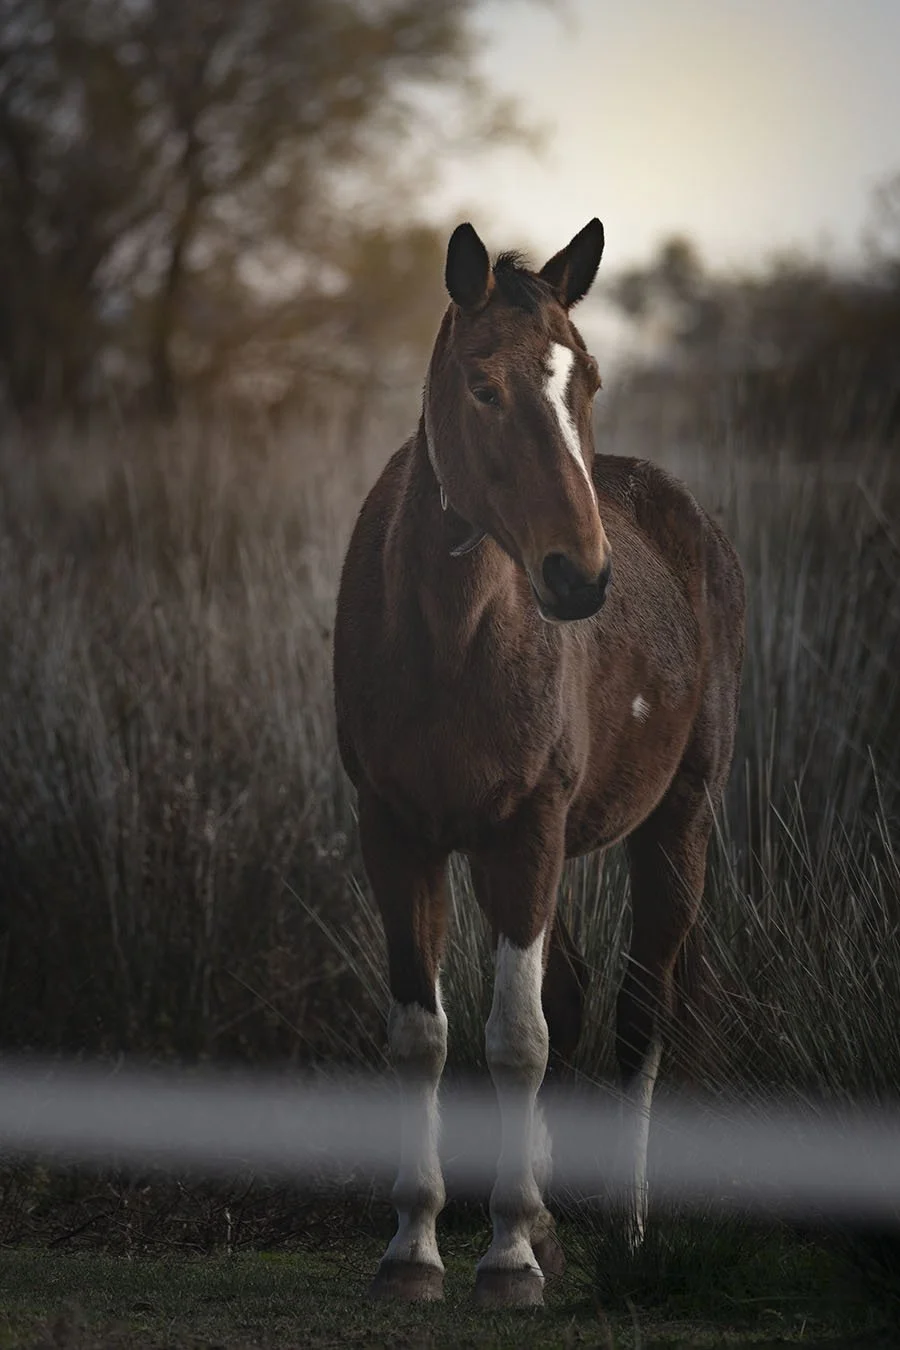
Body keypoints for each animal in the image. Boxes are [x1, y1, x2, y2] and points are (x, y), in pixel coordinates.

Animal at [332, 218, 745, 1308]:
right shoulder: (399, 835)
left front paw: (510, 1258)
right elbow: (424, 1034)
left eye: (586, 379)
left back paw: (627, 1230)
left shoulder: (530, 834)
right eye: (483, 386)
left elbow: (518, 1039)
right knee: (571, 988)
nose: (580, 575)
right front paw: (416, 1249)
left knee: (640, 1012)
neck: (449, 639)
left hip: (674, 826)